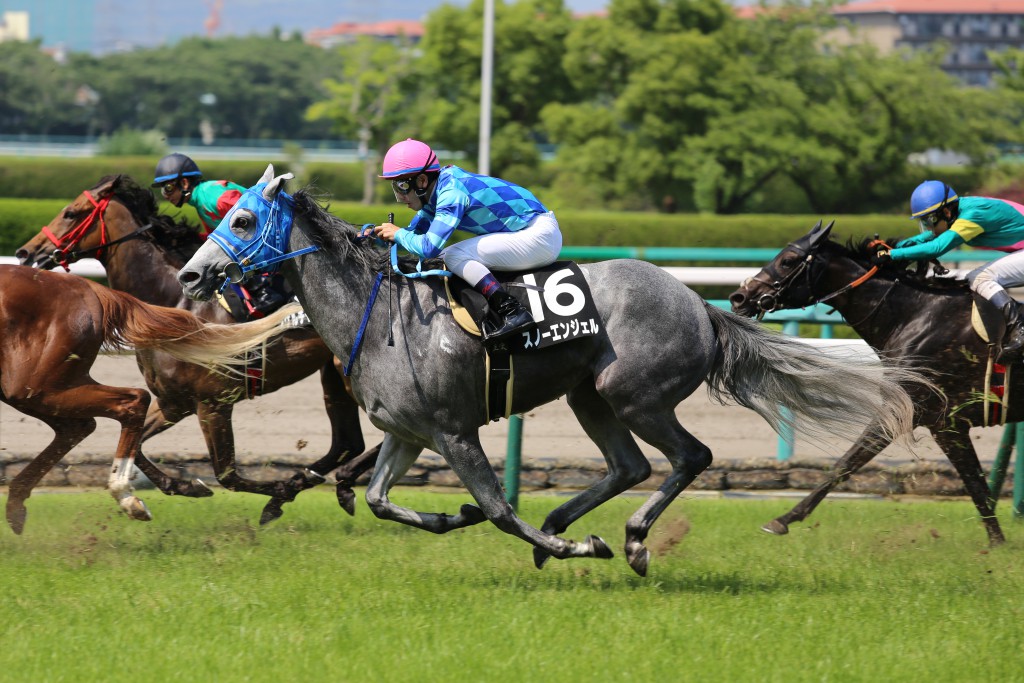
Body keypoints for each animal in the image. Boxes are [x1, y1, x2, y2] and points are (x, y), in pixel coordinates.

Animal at [0, 264, 300, 533]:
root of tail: (88, 287)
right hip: (42, 385)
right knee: (81, 425)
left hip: (35, 385)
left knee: (130, 402)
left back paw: (125, 496)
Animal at [176, 166, 924, 576]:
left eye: (241, 219)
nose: (188, 275)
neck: (380, 311)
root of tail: (702, 305)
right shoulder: (410, 432)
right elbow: (385, 499)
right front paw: (451, 516)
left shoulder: (455, 431)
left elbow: (500, 508)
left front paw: (566, 546)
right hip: (587, 396)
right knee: (630, 465)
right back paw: (570, 520)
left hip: (635, 393)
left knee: (690, 456)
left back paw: (628, 538)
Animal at [728, 220, 1010, 546]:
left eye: (787, 260)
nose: (738, 297)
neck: (915, 316)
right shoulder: (929, 417)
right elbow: (975, 483)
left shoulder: (930, 415)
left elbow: (848, 462)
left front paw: (782, 520)